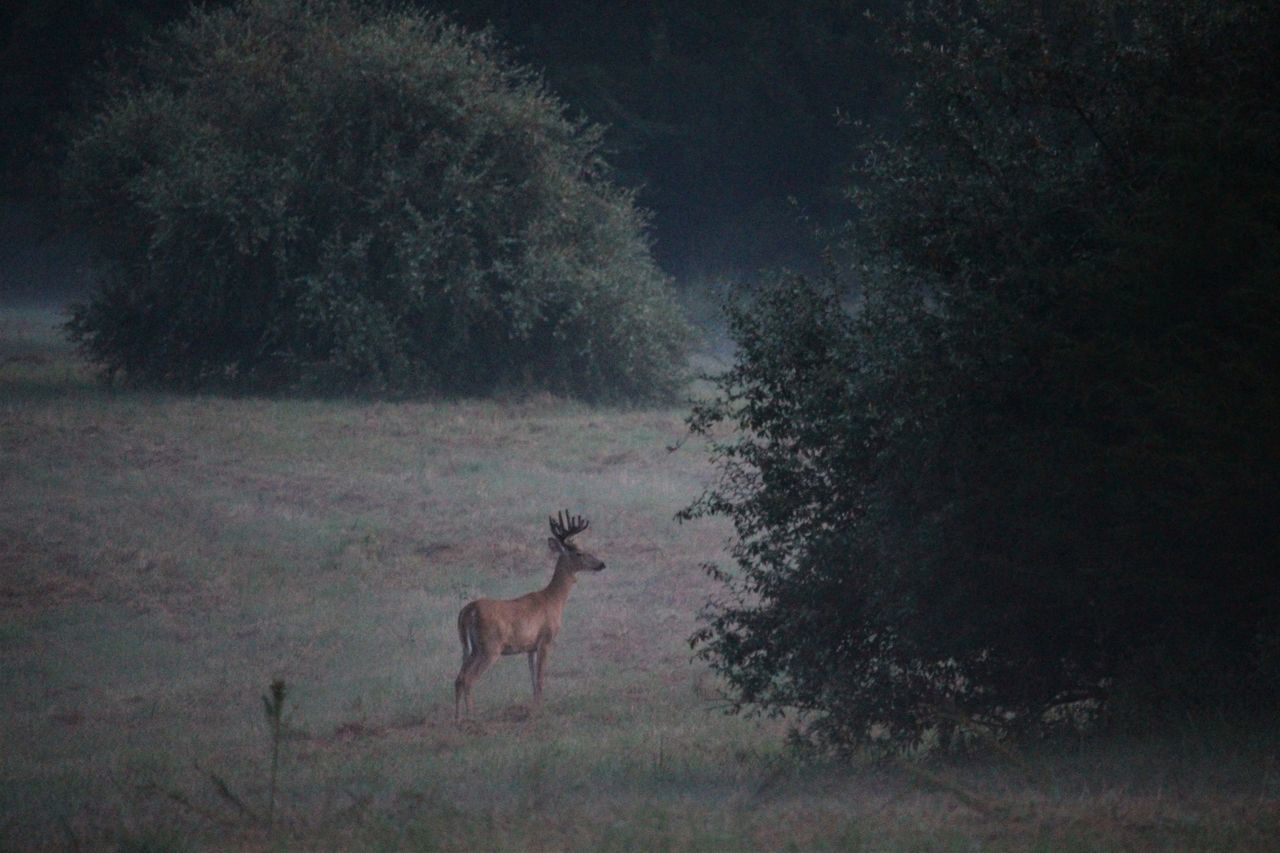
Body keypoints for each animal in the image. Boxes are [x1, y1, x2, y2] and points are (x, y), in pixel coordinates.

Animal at [455, 507, 604, 722]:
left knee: (458, 678)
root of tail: (469, 610)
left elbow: (532, 678)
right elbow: (540, 678)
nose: (602, 564)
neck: (553, 600)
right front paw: (541, 709)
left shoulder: (530, 647)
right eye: (579, 552)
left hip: (469, 648)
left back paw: (457, 718)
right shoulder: (546, 639)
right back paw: (472, 718)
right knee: (468, 679)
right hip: (490, 647)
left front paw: (534, 707)